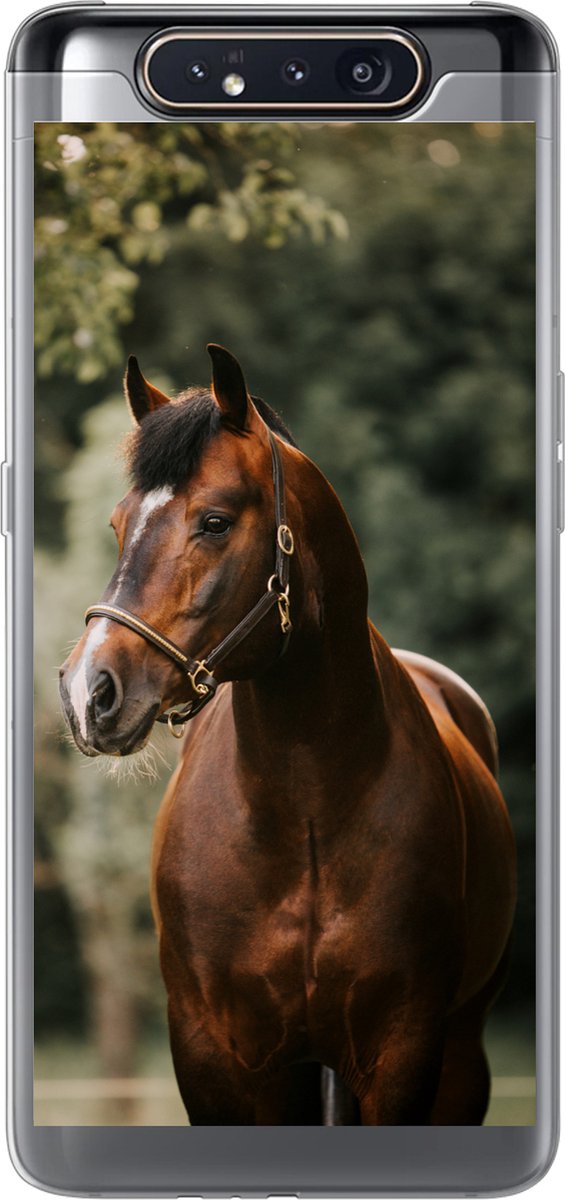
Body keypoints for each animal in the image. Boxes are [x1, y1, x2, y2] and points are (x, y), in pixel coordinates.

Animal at [59, 343, 517, 1126]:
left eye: (214, 522)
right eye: (118, 525)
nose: (90, 692)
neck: (304, 812)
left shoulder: (404, 1052)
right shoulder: (215, 1059)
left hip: (459, 1059)